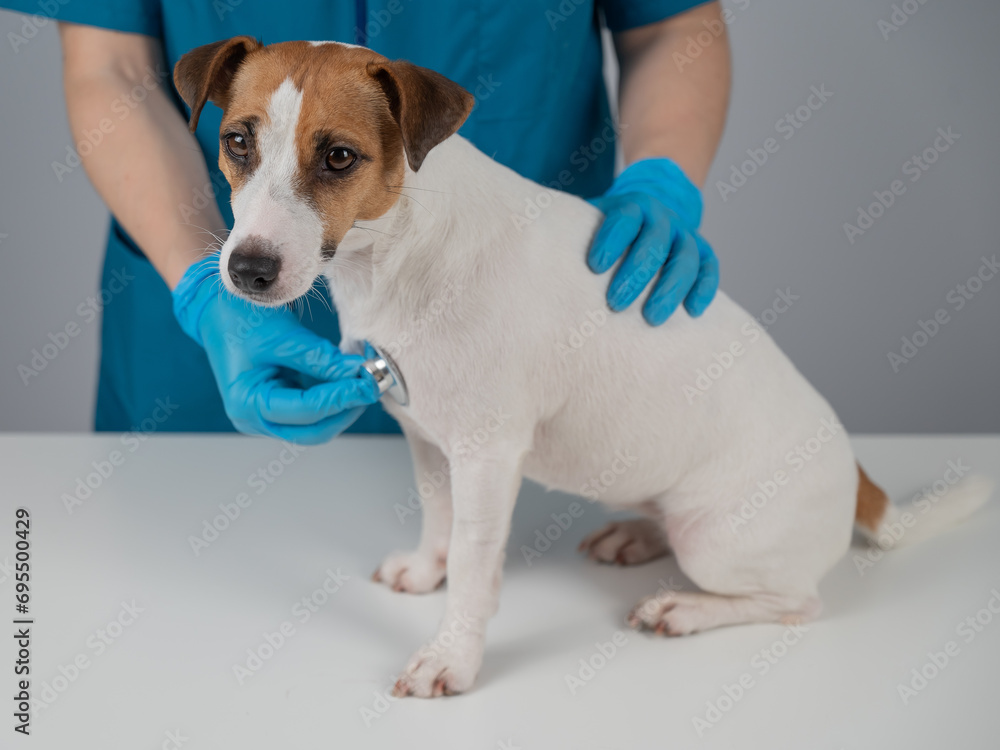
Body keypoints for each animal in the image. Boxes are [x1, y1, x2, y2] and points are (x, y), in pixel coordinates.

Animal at [174, 39, 992, 700]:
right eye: (237, 141)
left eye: (339, 157)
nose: (247, 271)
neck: (402, 250)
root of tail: (858, 477)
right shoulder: (429, 437)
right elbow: (439, 521)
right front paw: (426, 569)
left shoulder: (487, 456)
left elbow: (474, 568)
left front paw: (452, 658)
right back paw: (636, 536)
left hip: (721, 542)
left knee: (797, 603)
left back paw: (684, 607)